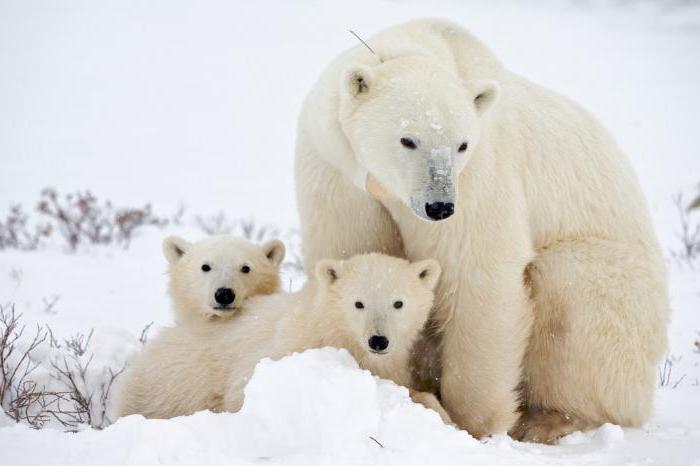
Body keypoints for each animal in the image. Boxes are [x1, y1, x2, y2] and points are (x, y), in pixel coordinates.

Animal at [118, 253, 452, 424]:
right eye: (358, 303)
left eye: (398, 303)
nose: (378, 340)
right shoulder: (285, 350)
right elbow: (241, 393)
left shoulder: (391, 364)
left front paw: (439, 412)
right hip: (169, 386)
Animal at [294, 17, 668, 440]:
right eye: (407, 139)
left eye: (461, 144)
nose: (439, 206)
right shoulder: (336, 170)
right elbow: (353, 250)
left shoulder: (479, 173)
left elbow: (477, 269)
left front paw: (471, 422)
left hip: (621, 297)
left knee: (571, 294)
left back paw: (547, 419)